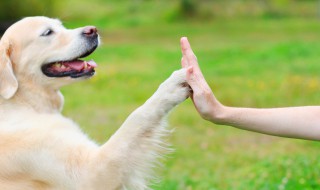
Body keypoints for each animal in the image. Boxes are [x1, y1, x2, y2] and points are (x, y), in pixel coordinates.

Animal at [0, 16, 190, 190]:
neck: (25, 103)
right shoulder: (90, 173)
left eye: (61, 25)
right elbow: (137, 117)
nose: (93, 30)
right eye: (47, 32)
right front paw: (172, 85)